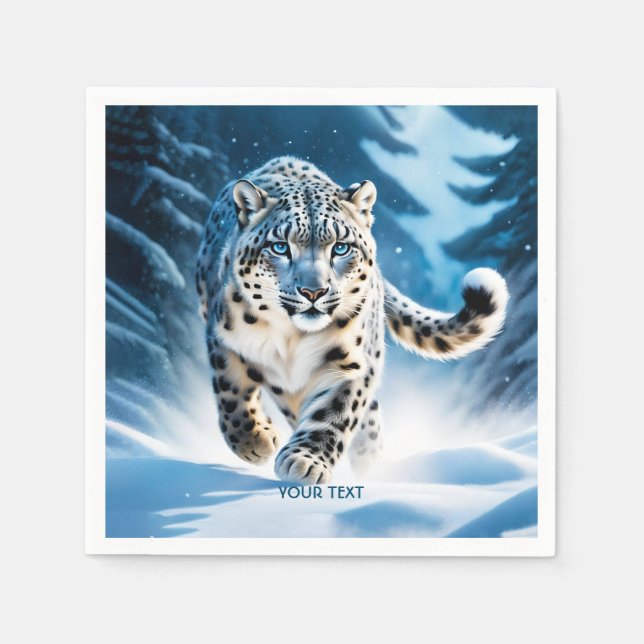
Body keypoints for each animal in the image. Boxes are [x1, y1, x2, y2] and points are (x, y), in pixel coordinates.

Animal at [195, 156, 509, 484]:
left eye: (340, 247)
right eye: (280, 246)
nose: (313, 291)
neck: (292, 337)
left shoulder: (353, 362)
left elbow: (337, 411)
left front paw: (305, 461)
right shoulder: (222, 339)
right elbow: (231, 393)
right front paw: (254, 441)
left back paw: (371, 458)